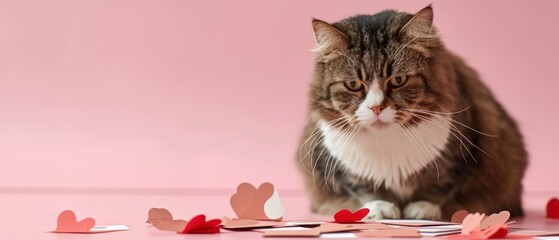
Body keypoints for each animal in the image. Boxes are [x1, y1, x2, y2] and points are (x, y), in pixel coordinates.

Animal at [298, 4, 528, 220]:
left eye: (398, 80)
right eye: (353, 84)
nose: (376, 107)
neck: (387, 143)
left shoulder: (462, 153)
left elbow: (439, 185)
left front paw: (422, 208)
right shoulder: (335, 164)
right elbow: (363, 186)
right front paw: (381, 206)